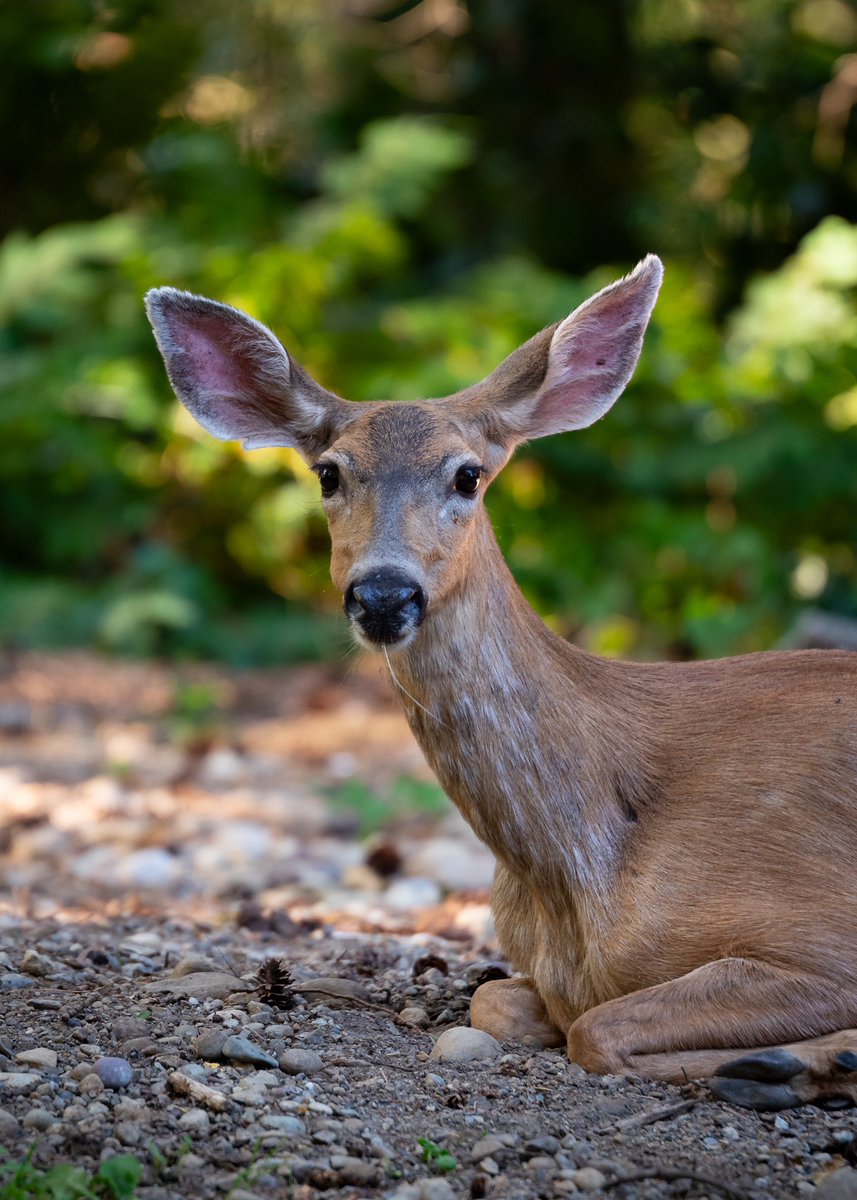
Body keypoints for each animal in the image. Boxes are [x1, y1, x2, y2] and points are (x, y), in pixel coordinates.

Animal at [147, 256, 857, 1111]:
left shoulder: (818, 934)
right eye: (327, 473)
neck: (573, 878)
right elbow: (503, 1002)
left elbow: (597, 1031)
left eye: (466, 475)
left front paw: (798, 1060)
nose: (382, 594)